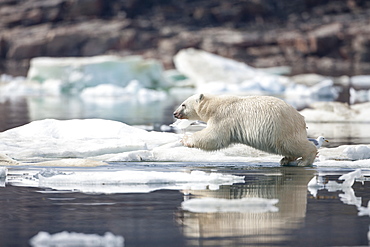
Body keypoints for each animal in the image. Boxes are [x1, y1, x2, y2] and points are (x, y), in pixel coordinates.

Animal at [173, 93, 316, 167]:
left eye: (183, 104)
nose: (175, 113)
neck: (213, 105)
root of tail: (301, 118)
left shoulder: (223, 117)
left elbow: (214, 137)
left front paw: (185, 139)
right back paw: (285, 160)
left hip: (282, 128)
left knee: (292, 144)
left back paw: (304, 161)